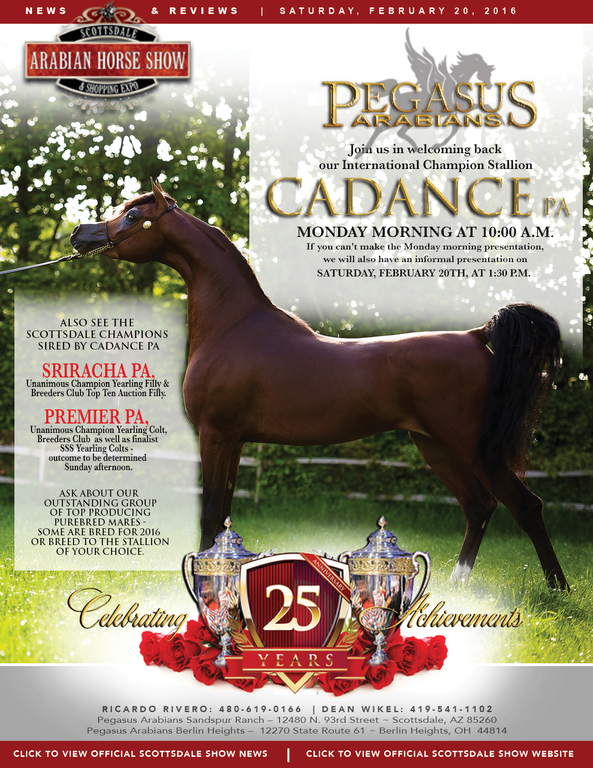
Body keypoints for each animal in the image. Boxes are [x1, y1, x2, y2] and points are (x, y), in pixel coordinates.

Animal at [70, 179, 567, 590]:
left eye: (133, 215)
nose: (79, 235)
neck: (234, 326)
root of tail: (475, 335)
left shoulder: (215, 434)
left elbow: (210, 510)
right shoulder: (233, 440)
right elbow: (224, 511)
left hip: (472, 446)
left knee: (526, 505)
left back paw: (558, 588)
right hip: (435, 446)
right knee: (479, 506)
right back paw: (458, 584)